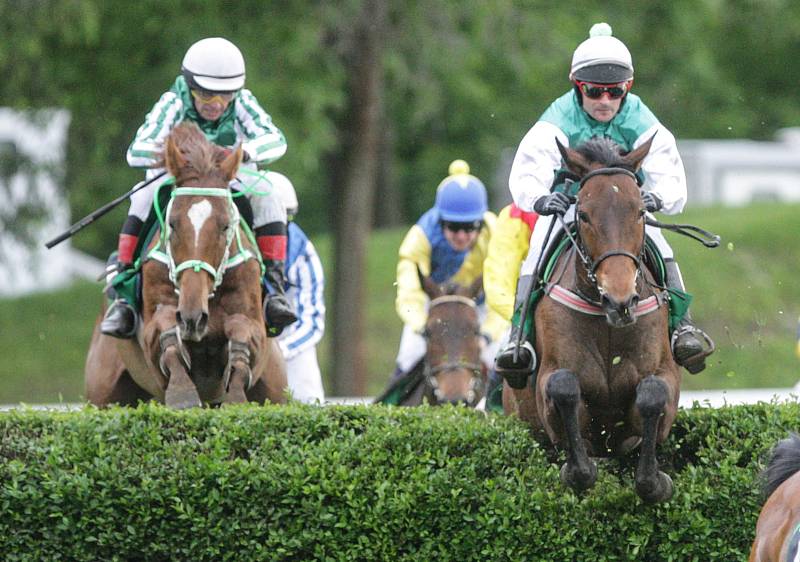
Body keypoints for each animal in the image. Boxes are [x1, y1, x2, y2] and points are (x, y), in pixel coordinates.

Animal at [86, 120, 286, 404]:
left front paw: (235, 394)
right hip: (103, 393)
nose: (193, 317)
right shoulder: (157, 323)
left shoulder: (253, 323)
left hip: (276, 389)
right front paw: (182, 393)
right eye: (172, 223)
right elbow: (168, 338)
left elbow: (242, 342)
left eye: (225, 225)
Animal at [504, 137, 680, 504]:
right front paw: (578, 471)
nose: (620, 299)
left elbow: (653, 394)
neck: (606, 321)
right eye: (583, 215)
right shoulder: (550, 378)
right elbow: (563, 386)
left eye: (640, 211)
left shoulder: (665, 373)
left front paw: (655, 481)